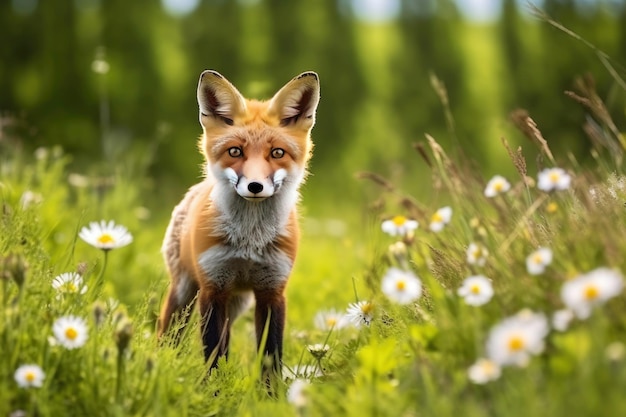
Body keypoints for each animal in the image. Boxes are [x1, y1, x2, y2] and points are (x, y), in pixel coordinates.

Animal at [158, 69, 320, 376]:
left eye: (277, 153)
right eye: (235, 152)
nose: (255, 186)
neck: (250, 240)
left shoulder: (272, 291)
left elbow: (270, 356)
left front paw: (271, 391)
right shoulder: (213, 288)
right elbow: (213, 353)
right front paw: (213, 387)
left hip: (237, 303)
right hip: (185, 291)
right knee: (168, 332)